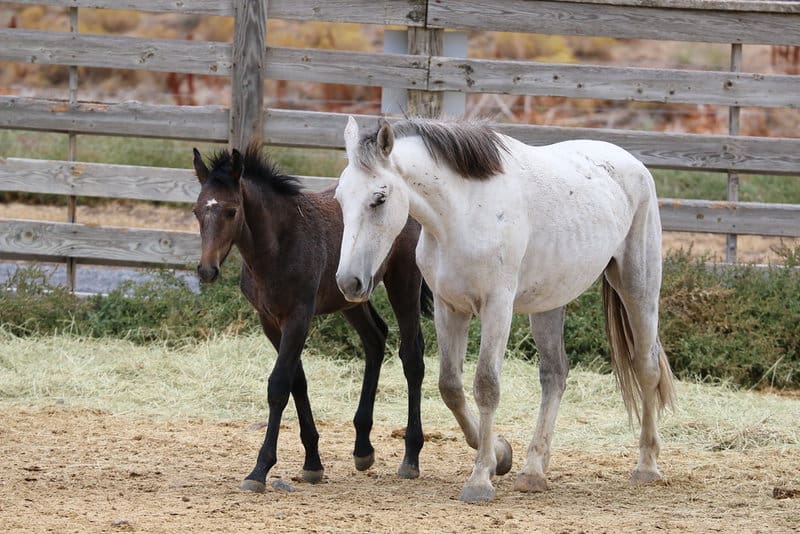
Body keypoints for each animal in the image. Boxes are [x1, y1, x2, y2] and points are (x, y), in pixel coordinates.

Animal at [191, 143, 431, 492]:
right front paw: (312, 462)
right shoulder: (270, 321)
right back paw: (363, 448)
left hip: (404, 282)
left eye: (231, 211)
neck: (278, 246)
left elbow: (279, 385)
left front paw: (260, 469)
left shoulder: (298, 317)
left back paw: (410, 456)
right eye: (197, 211)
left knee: (411, 356)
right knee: (375, 339)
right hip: (350, 295)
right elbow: (297, 382)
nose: (207, 270)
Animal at [333, 116, 676, 502]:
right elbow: (450, 386)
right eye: (340, 198)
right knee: (554, 375)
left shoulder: (497, 306)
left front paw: (480, 479)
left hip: (638, 288)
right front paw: (500, 454)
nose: (348, 282)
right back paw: (533, 470)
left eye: (379, 198)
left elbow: (486, 385)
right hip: (549, 302)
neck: (464, 212)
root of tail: (634, 165)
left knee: (646, 368)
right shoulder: (449, 308)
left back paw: (646, 466)